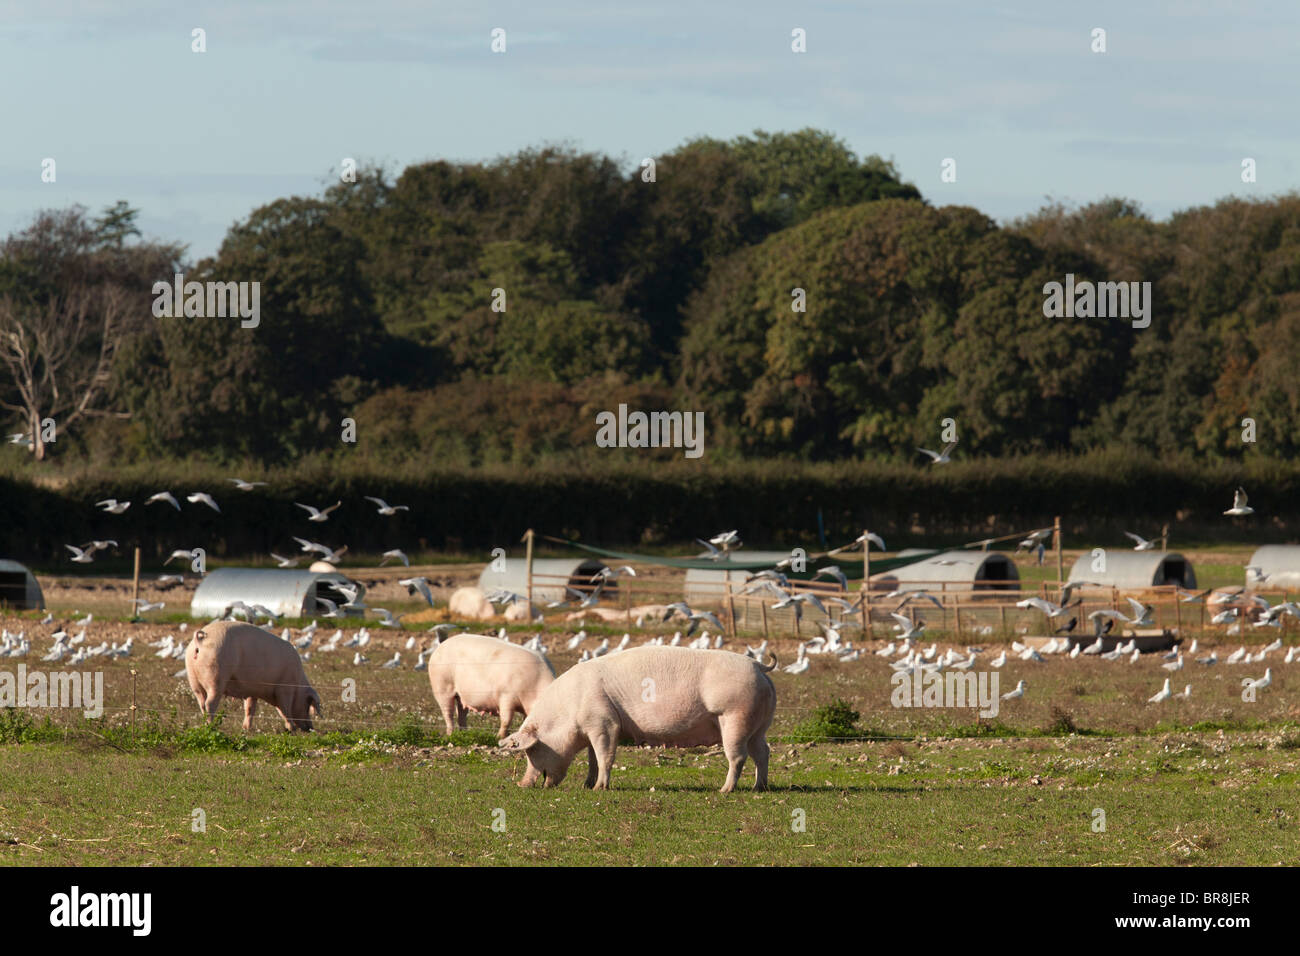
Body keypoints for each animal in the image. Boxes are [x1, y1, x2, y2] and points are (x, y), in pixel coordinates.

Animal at [185, 621, 322, 733]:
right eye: (307, 705)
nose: (310, 728)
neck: (298, 684)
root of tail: (201, 639)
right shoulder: (284, 688)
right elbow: (285, 708)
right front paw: (292, 729)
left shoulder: (252, 691)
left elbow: (250, 708)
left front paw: (246, 729)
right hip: (216, 677)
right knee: (210, 703)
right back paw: (212, 727)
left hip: (193, 679)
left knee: (201, 703)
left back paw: (205, 725)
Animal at [423, 634, 551, 738]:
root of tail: (439, 647)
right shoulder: (506, 696)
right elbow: (506, 719)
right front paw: (499, 737)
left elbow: (525, 720)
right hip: (441, 686)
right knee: (448, 712)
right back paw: (450, 734)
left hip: (460, 695)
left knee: (461, 713)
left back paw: (464, 733)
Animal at [501, 647, 774, 796]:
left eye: (532, 750)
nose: (522, 784)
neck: (567, 709)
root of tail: (758, 665)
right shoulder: (592, 727)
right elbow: (592, 758)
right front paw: (587, 785)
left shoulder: (604, 722)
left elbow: (605, 756)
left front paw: (599, 788)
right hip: (758, 726)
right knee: (763, 752)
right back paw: (758, 788)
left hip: (734, 716)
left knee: (738, 757)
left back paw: (724, 790)